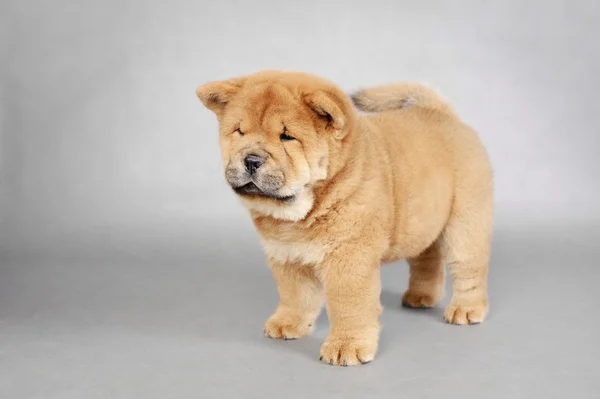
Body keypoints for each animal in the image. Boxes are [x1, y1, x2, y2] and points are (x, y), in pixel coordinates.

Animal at [196, 70, 492, 368]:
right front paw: (288, 324)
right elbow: (295, 295)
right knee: (426, 259)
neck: (300, 214)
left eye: (286, 137)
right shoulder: (285, 254)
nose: (251, 160)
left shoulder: (349, 257)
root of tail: (444, 115)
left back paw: (466, 310)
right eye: (239, 131)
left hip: (464, 225)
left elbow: (349, 304)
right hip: (421, 224)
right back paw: (421, 297)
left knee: (468, 269)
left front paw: (346, 347)